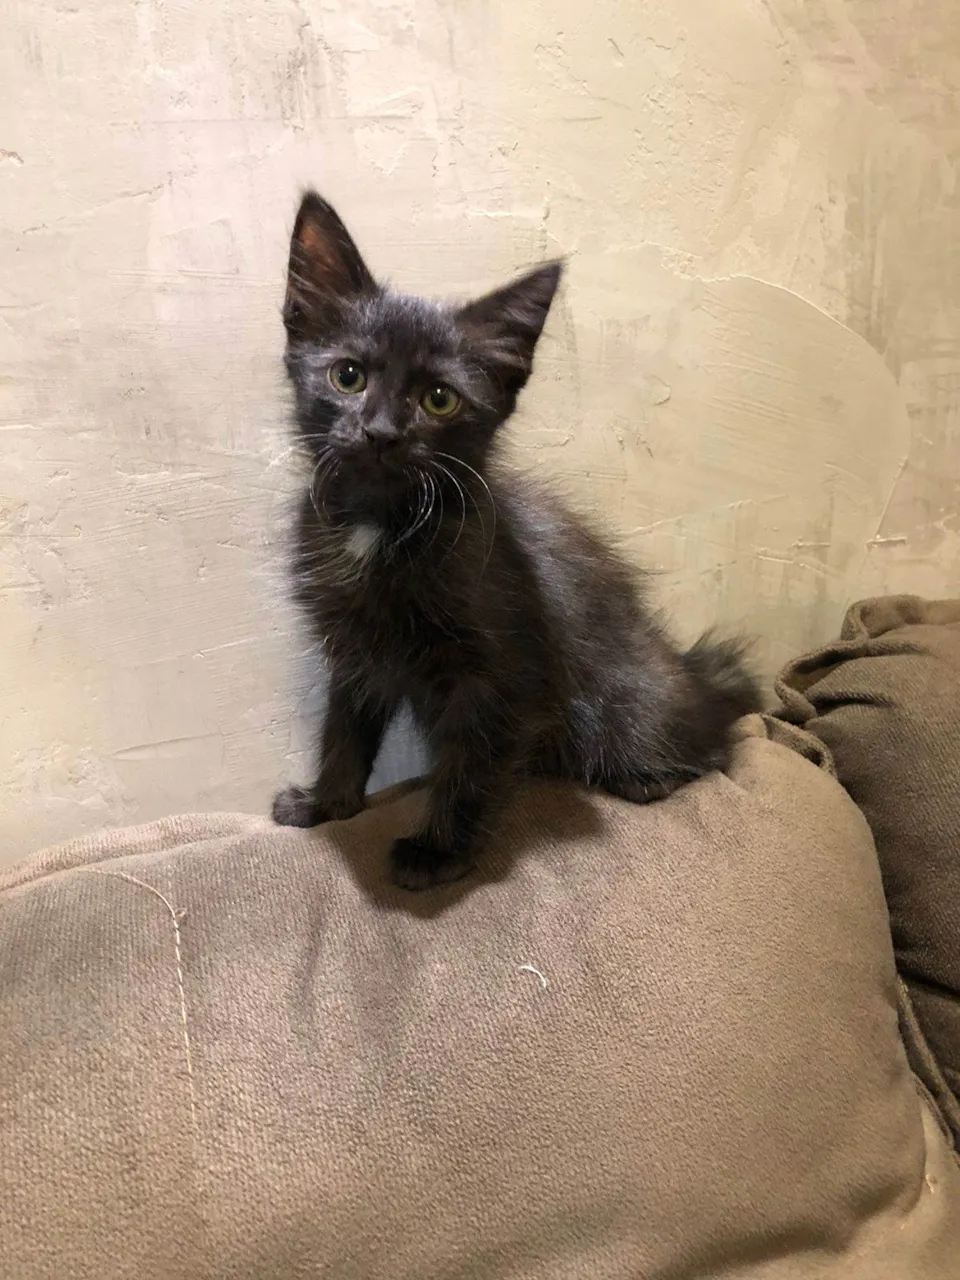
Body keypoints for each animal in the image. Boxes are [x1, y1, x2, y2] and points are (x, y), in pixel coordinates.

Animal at [272, 191, 760, 891]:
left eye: (439, 399)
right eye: (347, 377)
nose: (382, 432)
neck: (384, 525)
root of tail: (697, 684)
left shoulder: (502, 674)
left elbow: (470, 763)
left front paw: (437, 851)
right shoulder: (356, 656)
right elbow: (346, 733)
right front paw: (326, 805)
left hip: (623, 703)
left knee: (707, 750)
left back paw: (647, 777)